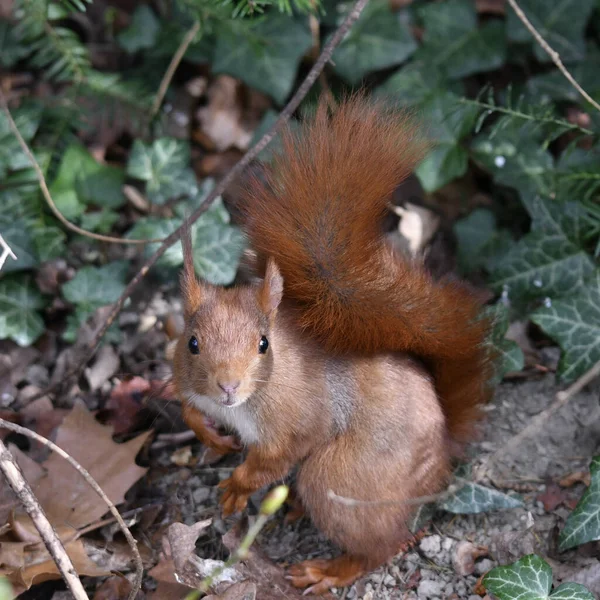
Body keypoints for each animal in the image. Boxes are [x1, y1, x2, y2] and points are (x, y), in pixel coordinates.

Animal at [171, 96, 494, 592]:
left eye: (263, 344)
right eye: (192, 343)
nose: (227, 387)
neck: (244, 405)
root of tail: (442, 452)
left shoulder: (298, 419)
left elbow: (273, 460)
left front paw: (237, 486)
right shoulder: (185, 380)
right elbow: (185, 405)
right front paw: (210, 435)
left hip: (342, 477)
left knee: (379, 545)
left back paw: (327, 570)